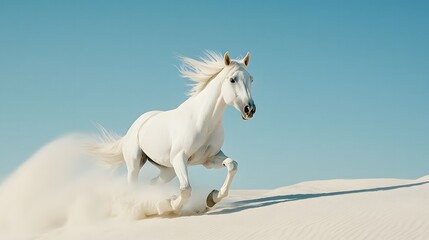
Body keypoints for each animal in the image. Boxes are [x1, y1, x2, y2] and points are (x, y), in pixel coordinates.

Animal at [87, 51, 254, 213]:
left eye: (251, 79)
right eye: (232, 79)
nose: (250, 109)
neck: (205, 121)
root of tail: (133, 129)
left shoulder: (209, 159)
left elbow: (232, 165)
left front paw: (211, 198)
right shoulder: (180, 157)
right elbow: (186, 189)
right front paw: (169, 205)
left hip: (168, 170)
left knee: (153, 183)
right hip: (135, 163)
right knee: (133, 186)